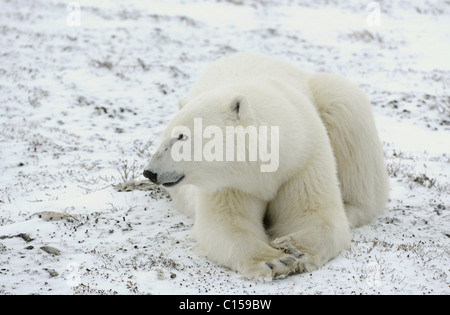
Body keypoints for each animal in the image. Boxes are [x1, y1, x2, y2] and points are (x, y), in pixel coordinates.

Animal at [143, 52, 386, 282]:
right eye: (166, 135)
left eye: (181, 136)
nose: (149, 172)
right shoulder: (230, 183)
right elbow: (226, 224)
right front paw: (274, 261)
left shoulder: (303, 158)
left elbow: (316, 213)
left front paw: (294, 248)